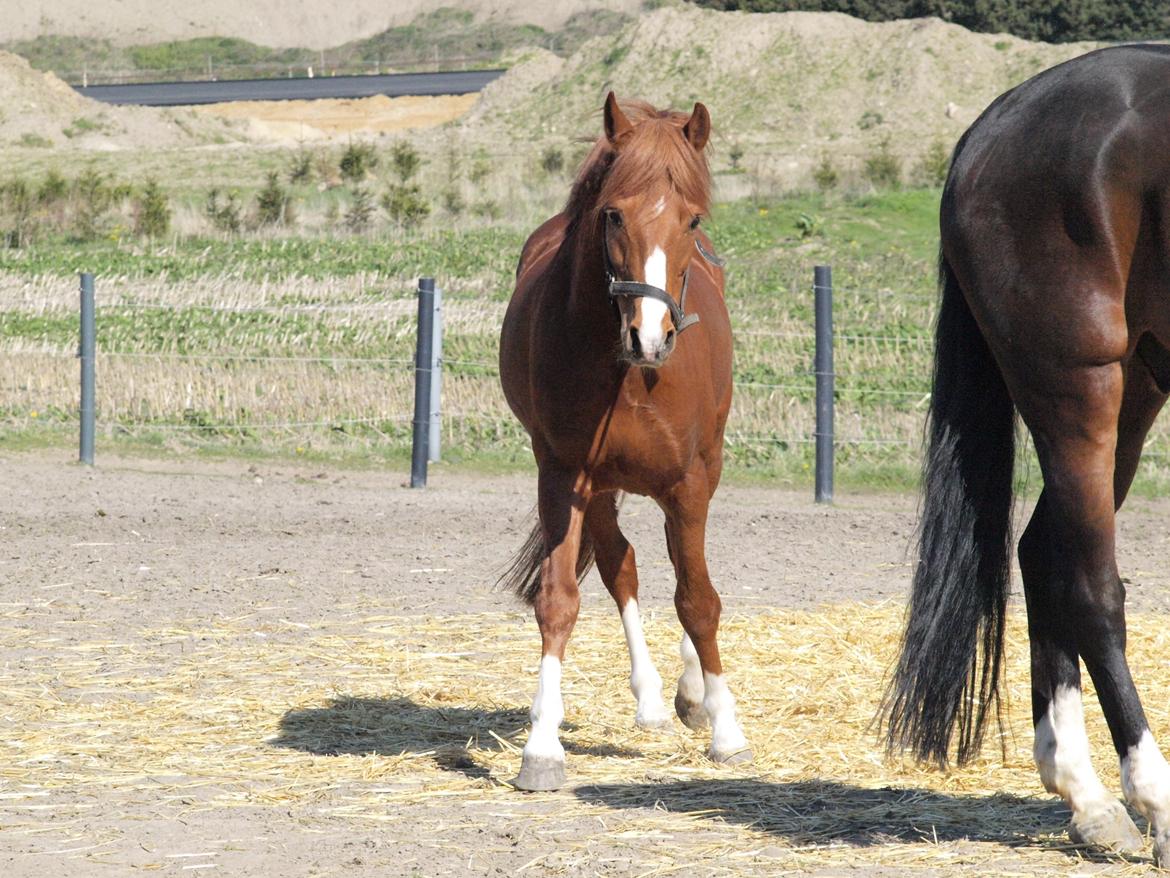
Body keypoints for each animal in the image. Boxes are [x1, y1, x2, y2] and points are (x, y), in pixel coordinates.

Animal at [496, 94, 748, 791]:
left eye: (691, 218)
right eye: (613, 214)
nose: (650, 337)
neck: (626, 373)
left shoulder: (689, 480)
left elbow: (698, 599)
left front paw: (726, 729)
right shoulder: (566, 477)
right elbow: (561, 600)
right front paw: (542, 747)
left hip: (701, 470)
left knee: (686, 572)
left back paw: (693, 692)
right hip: (604, 489)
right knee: (623, 566)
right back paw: (654, 699)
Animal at [879, 44, 1170, 861]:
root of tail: (995, 122)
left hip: (1135, 389)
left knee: (1044, 553)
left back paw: (1087, 799)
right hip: (1080, 388)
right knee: (1091, 589)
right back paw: (1146, 797)